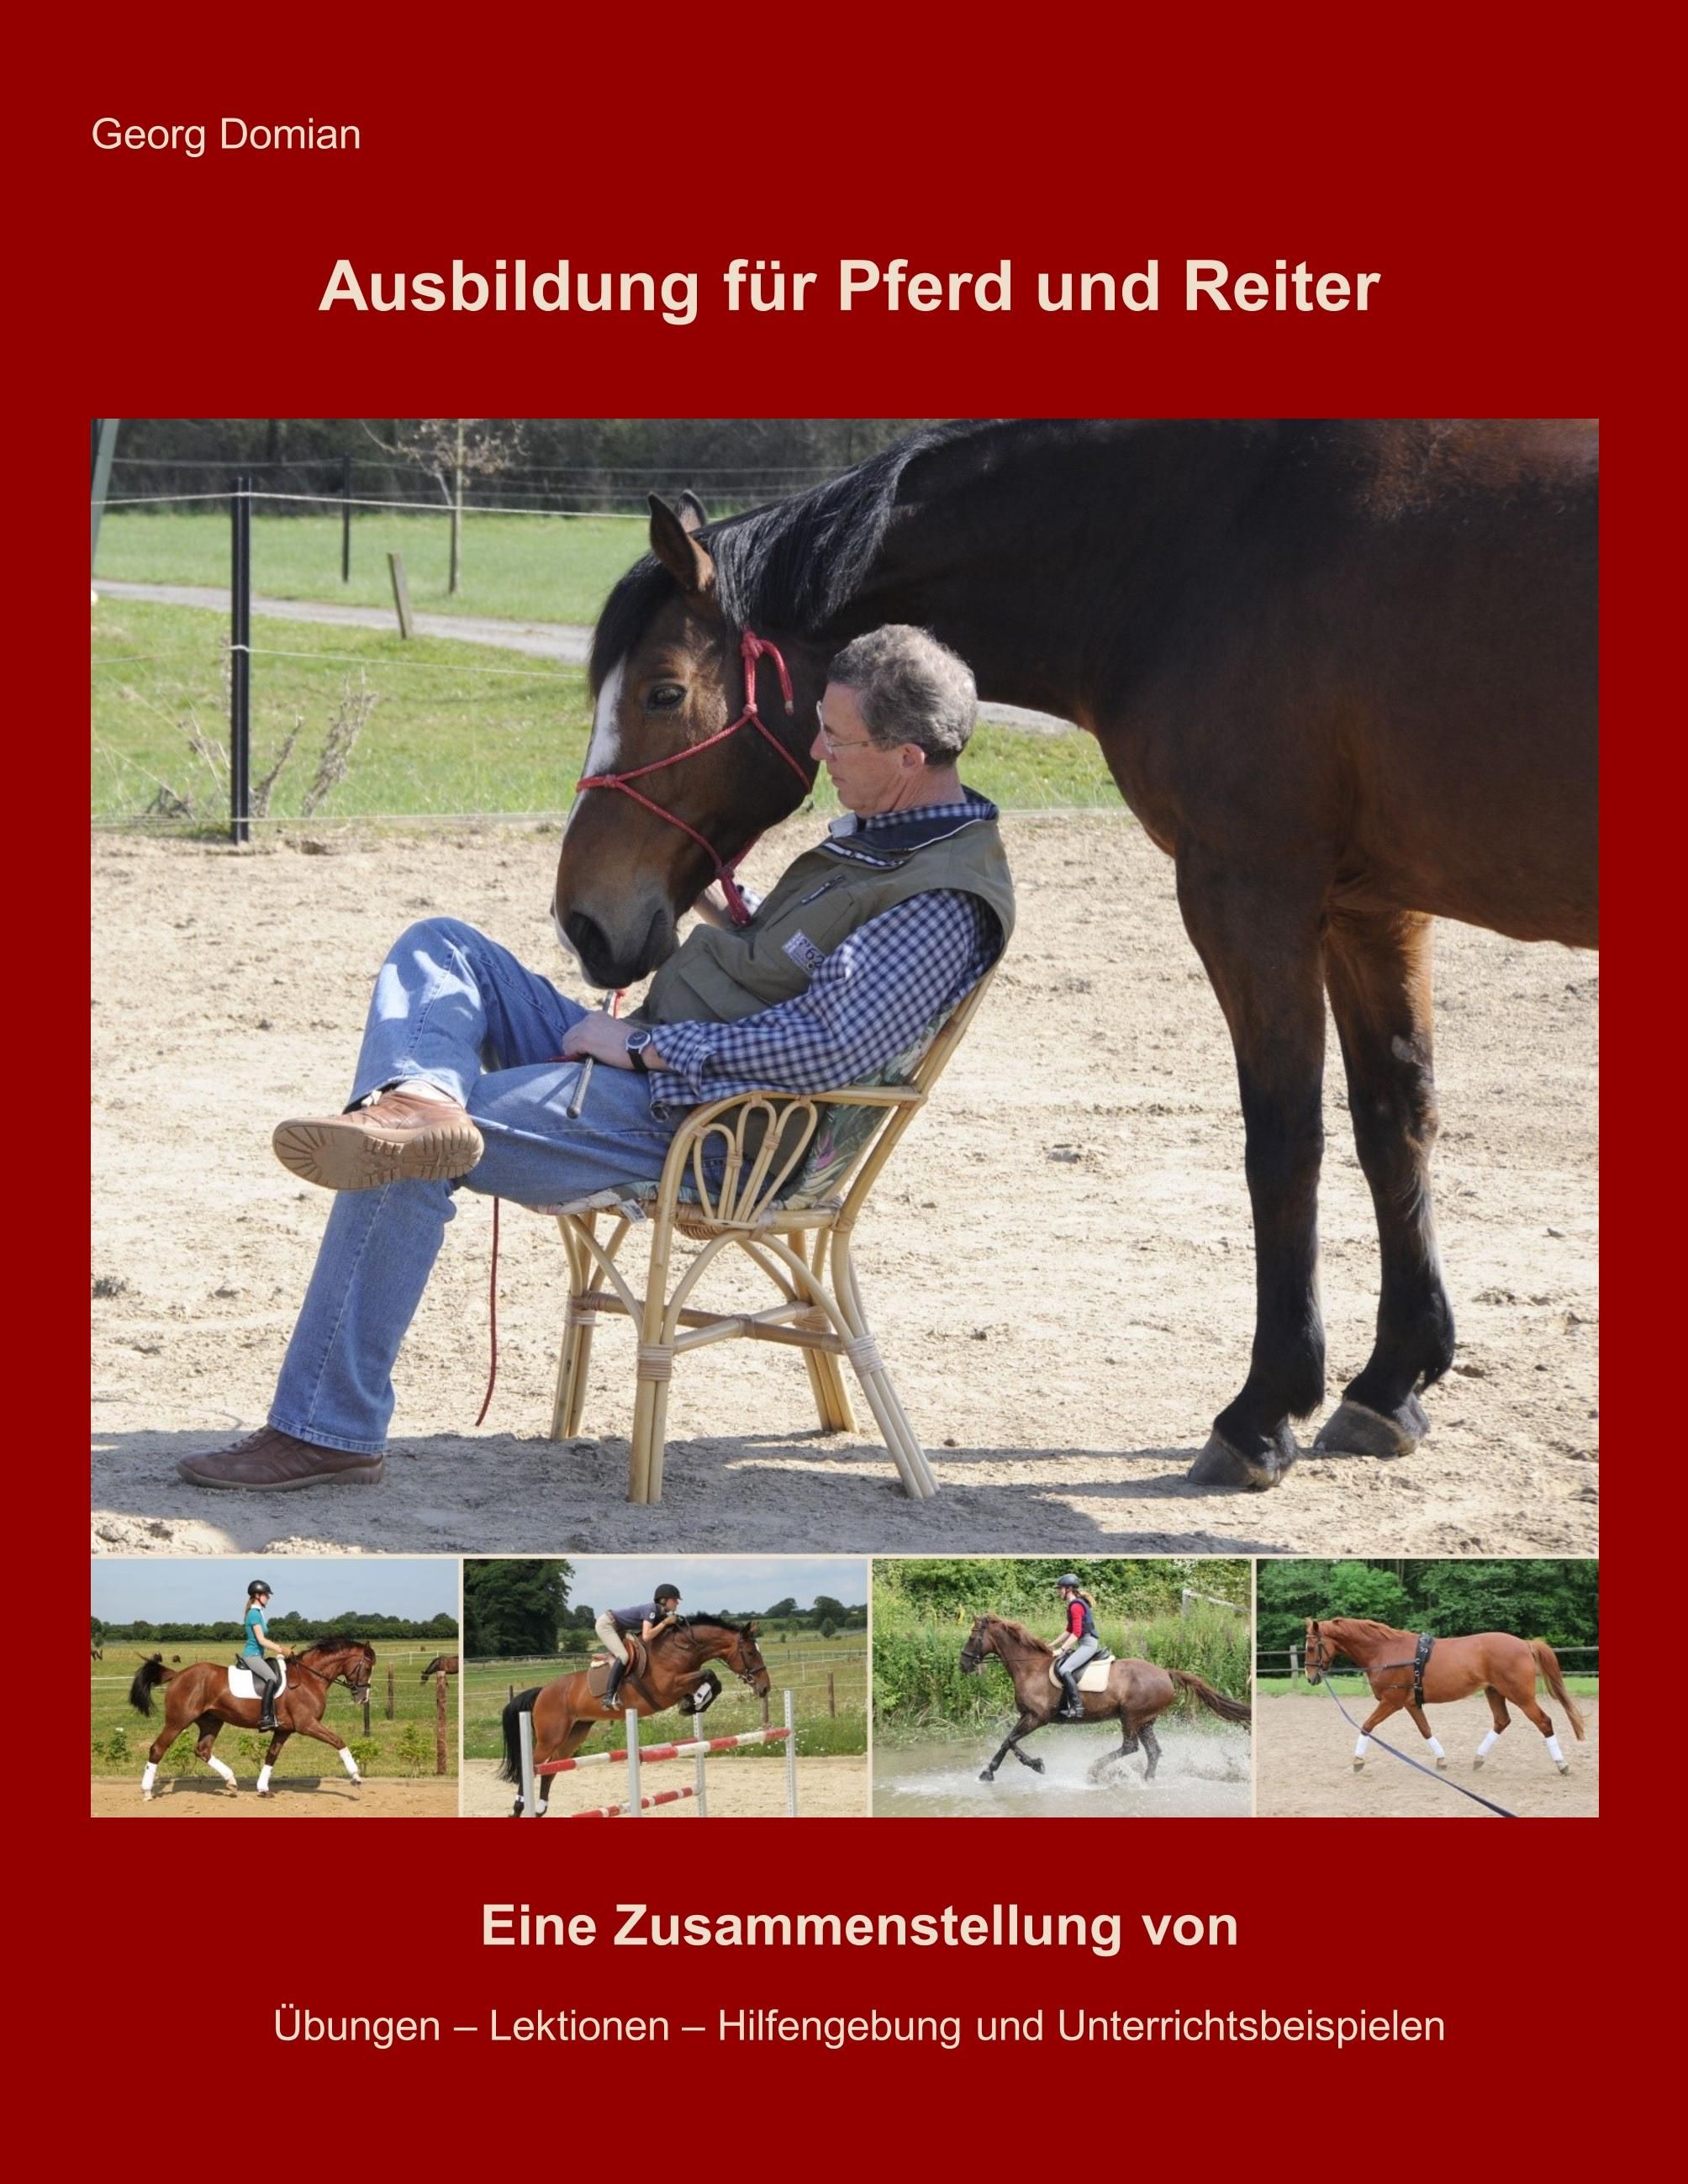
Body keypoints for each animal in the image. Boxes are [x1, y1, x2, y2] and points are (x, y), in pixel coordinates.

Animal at [127, 1637, 376, 1799]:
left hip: (212, 1721)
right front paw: (356, 1777)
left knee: (202, 1750)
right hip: (178, 1721)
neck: (309, 1677)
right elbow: (338, 1741)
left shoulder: (284, 1729)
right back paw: (147, 1792)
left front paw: (263, 1787)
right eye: (367, 1667)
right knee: (158, 1749)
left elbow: (271, 1756)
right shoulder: (307, 1724)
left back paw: (231, 1781)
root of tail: (178, 1675)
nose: (363, 1697)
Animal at [497, 1615, 769, 1816]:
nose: (765, 1687)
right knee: (532, 1767)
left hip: (575, 1734)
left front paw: (693, 1704)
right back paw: (519, 1806)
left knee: (551, 1768)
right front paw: (693, 1703)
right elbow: (709, 1674)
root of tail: (543, 1691)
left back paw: (541, 1808)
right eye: (751, 1653)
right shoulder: (667, 1688)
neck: (681, 1648)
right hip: (550, 1737)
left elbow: (713, 1680)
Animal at [555, 421, 1596, 1491]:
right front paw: (1390, 1384)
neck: (1217, 535)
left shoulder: (1249, 892)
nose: (584, 920)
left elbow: (1283, 1142)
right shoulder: (1369, 905)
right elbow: (1395, 1121)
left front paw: (1262, 1411)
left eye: (664, 691)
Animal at [959, 1612, 1251, 1783]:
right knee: (1153, 1751)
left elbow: (1009, 1741)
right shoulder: (1028, 1717)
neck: (1029, 1667)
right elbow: (1010, 1742)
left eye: (973, 1637)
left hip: (1131, 1716)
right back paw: (1146, 1780)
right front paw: (1028, 1765)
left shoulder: (1037, 1717)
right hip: (1145, 1720)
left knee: (1130, 1747)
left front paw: (997, 1771)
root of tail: (1166, 1673)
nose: (963, 1665)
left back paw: (1095, 1771)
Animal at [1305, 1616, 1587, 1774]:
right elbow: (1426, 1730)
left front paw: (1357, 1761)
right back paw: (1478, 1759)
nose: (1310, 1677)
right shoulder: (1411, 1703)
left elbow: (1366, 1726)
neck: (1385, 1651)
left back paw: (1562, 1764)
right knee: (1502, 1721)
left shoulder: (1392, 1702)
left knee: (1544, 1722)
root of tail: (1525, 1644)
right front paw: (1441, 1761)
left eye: (1310, 1646)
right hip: (1494, 1692)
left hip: (1521, 1696)